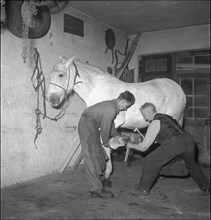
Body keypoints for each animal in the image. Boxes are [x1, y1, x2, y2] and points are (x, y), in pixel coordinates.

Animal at [47, 56, 186, 180]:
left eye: (61, 75)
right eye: (50, 74)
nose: (52, 99)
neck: (97, 89)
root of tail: (180, 90)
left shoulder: (109, 123)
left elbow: (105, 145)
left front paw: (107, 172)